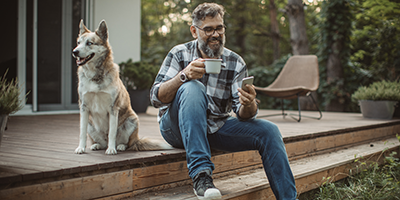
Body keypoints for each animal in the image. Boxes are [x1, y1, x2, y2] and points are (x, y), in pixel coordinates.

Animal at [72, 19, 171, 155]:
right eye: (78, 43)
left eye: (89, 43)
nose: (74, 52)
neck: (95, 76)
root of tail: (137, 140)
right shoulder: (84, 107)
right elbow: (82, 132)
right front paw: (81, 148)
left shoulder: (113, 108)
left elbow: (112, 133)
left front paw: (111, 149)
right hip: (90, 125)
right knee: (98, 141)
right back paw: (96, 145)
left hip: (132, 120)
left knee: (127, 143)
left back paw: (120, 146)